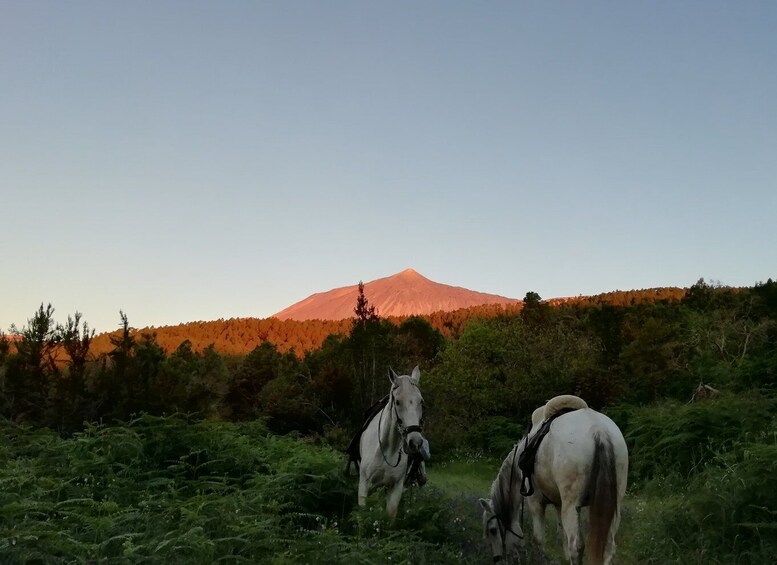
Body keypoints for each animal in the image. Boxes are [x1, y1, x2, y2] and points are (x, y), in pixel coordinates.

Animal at [358, 368, 430, 516]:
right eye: (397, 402)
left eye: (421, 402)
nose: (415, 442)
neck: (386, 449)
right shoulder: (364, 484)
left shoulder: (396, 487)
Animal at [476, 394, 628, 564]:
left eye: (492, 530)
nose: (497, 559)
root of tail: (598, 430)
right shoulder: (558, 504)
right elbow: (562, 536)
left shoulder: (535, 502)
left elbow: (539, 540)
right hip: (613, 504)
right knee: (608, 547)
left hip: (572, 505)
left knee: (576, 546)